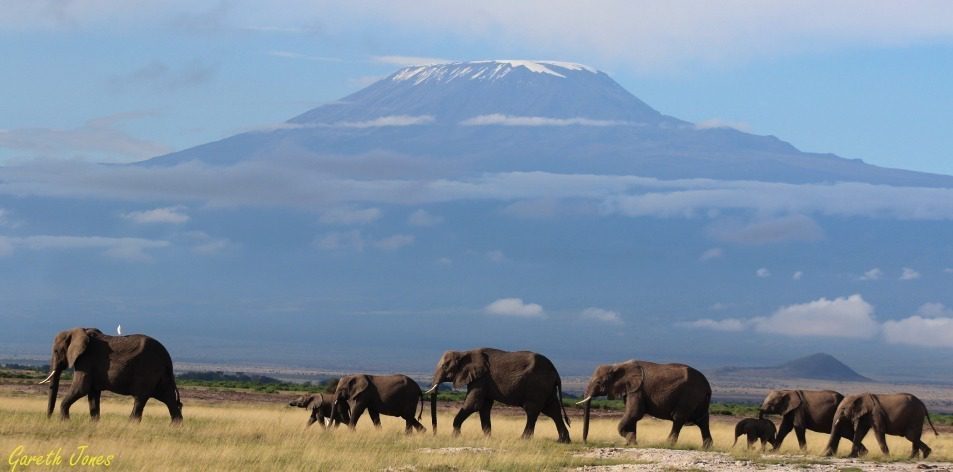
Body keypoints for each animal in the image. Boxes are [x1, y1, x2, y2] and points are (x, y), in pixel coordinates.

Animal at [39, 326, 181, 422]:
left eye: (56, 351)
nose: (48, 418)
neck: (77, 330)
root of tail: (167, 357)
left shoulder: (86, 360)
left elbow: (81, 388)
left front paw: (66, 422)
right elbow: (93, 395)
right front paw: (94, 423)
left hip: (148, 371)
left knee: (140, 399)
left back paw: (130, 425)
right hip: (161, 375)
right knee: (169, 398)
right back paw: (176, 426)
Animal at [422, 346, 564, 442]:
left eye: (445, 366)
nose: (434, 433)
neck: (464, 353)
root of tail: (556, 372)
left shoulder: (481, 378)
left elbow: (473, 404)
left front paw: (455, 437)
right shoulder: (484, 381)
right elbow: (484, 407)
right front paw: (488, 438)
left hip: (537, 385)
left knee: (532, 410)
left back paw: (523, 439)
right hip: (546, 387)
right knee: (553, 410)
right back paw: (563, 441)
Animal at [572, 360, 712, 448]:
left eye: (599, 382)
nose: (585, 442)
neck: (617, 365)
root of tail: (708, 386)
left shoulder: (637, 389)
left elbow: (634, 413)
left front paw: (630, 440)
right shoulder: (630, 389)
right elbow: (632, 415)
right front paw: (631, 442)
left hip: (689, 396)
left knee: (678, 418)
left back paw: (667, 444)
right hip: (699, 400)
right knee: (702, 421)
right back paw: (706, 447)